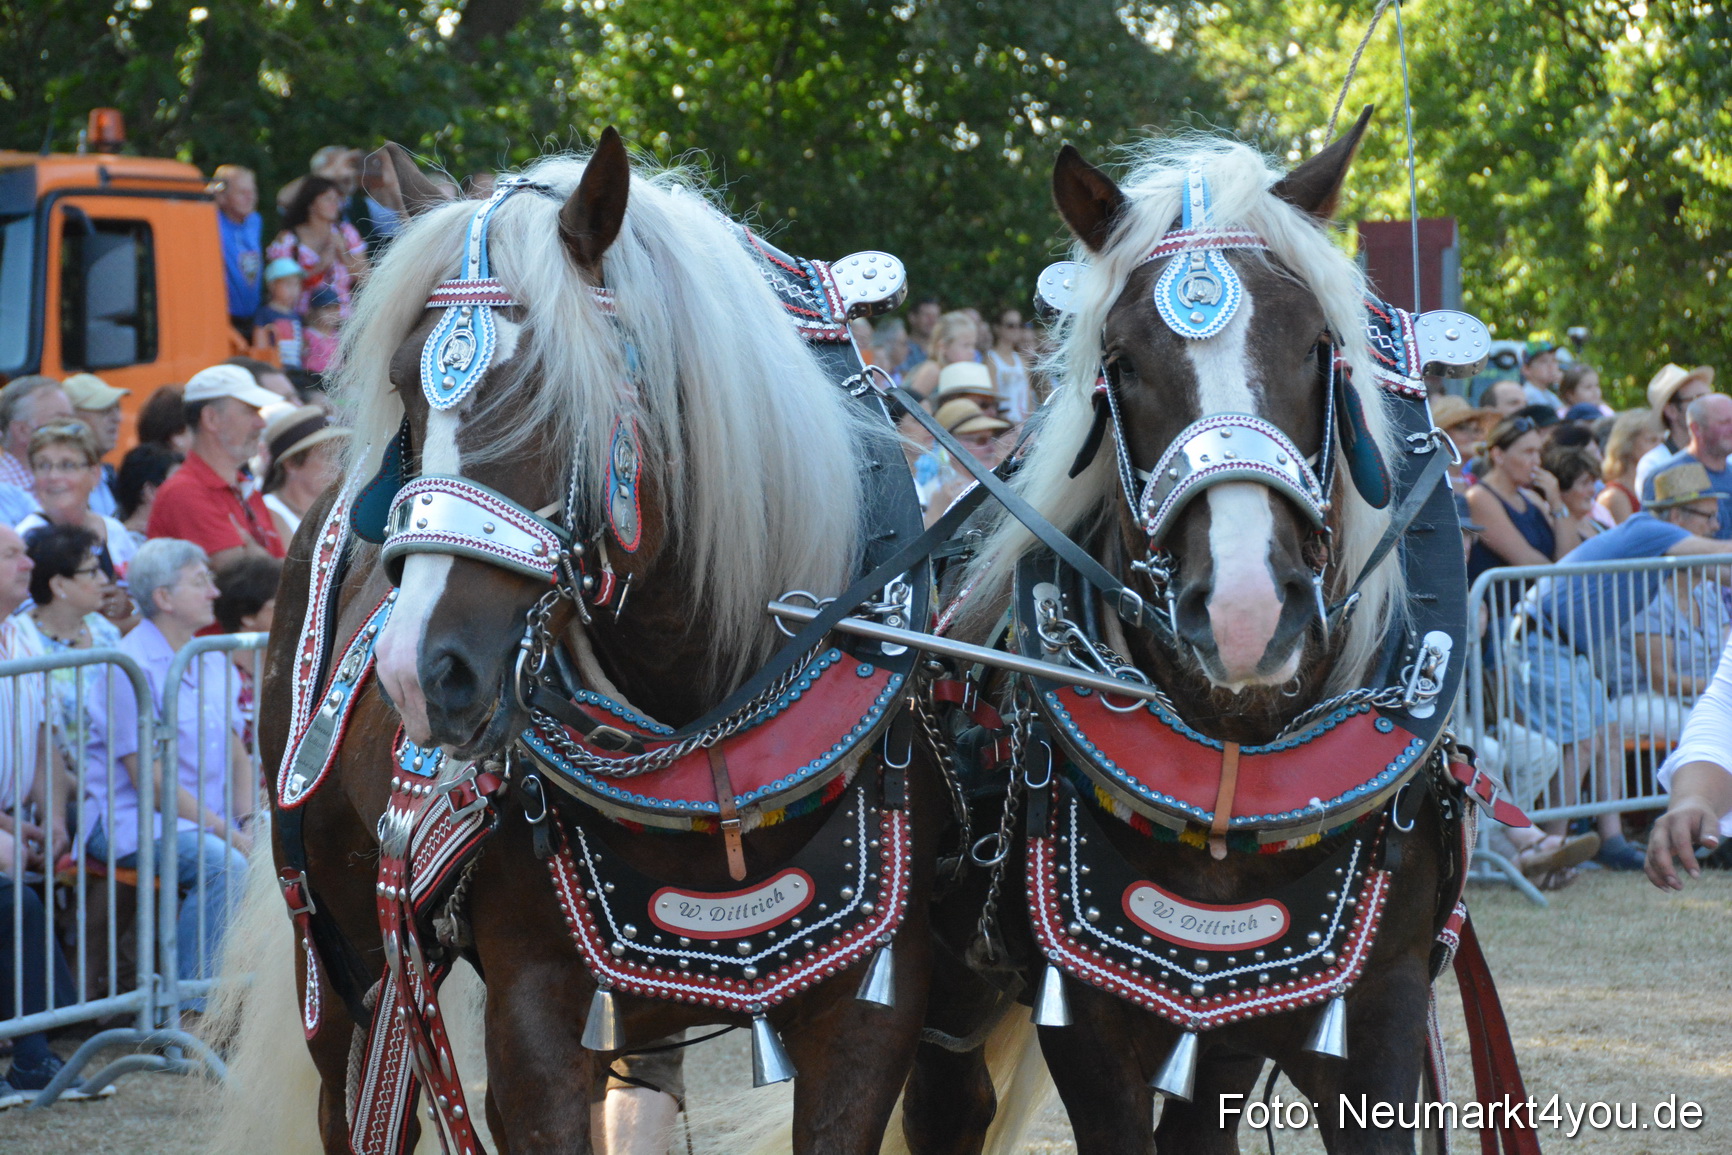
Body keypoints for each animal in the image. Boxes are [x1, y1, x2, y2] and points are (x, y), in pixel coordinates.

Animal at [218, 130, 946, 1155]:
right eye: (403, 385)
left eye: (550, 389)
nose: (418, 674)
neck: (709, 749)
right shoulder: (534, 1020)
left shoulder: (870, 1009)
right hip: (341, 955)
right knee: (355, 1100)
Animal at [898, 112, 1487, 1155]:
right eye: (1123, 363)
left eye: (1318, 345)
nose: (1248, 613)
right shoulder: (1088, 1022)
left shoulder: (1373, 1012)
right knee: (946, 1100)